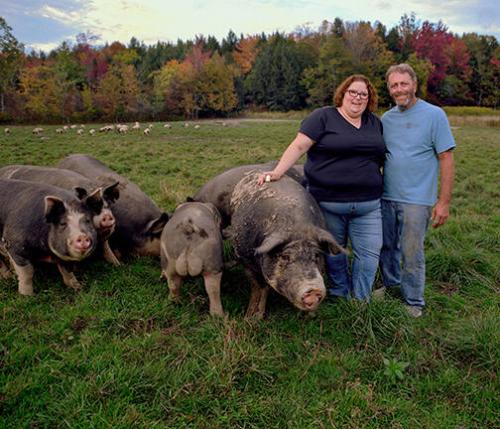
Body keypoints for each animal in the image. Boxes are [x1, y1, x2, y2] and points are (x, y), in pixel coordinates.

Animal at [229, 171, 344, 318]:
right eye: (285, 257)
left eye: (317, 256)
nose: (313, 290)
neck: (298, 228)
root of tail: (255, 172)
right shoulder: (245, 259)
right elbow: (260, 288)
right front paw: (252, 318)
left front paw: (310, 316)